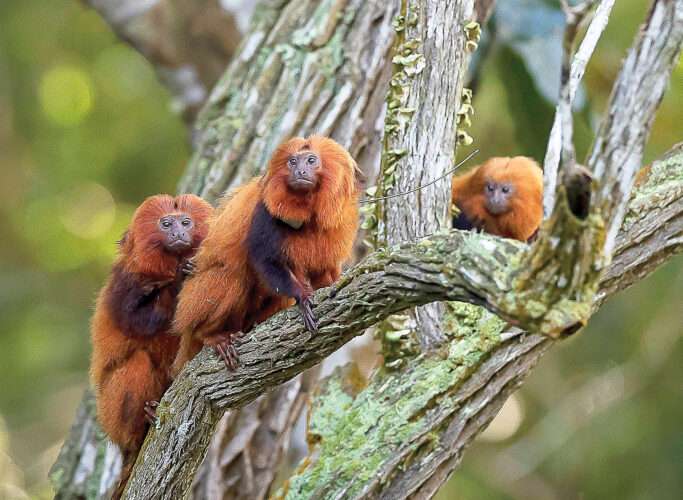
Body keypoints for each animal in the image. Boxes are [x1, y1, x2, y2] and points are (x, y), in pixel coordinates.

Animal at [89, 194, 213, 500]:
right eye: (166, 224)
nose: (178, 234)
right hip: (110, 411)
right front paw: (180, 279)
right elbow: (138, 322)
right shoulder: (125, 281)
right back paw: (142, 425)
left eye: (186, 222)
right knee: (137, 362)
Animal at [171, 136, 361, 375]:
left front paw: (330, 284)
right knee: (232, 275)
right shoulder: (266, 209)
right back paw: (209, 335)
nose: (299, 171)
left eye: (311, 161)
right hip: (193, 301)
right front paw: (302, 297)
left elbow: (323, 268)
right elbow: (264, 258)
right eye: (292, 162)